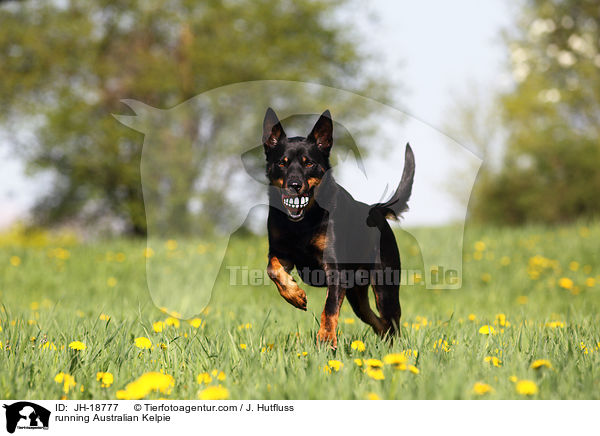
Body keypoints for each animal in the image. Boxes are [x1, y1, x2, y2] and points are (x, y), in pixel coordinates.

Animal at [264, 108, 414, 348]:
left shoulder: (333, 268)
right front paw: (296, 296)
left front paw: (326, 340)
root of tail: (375, 210)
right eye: (282, 163)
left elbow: (330, 308)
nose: (294, 185)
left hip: (385, 286)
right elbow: (273, 270)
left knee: (392, 322)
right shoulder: (280, 253)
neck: (303, 223)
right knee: (377, 321)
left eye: (308, 163)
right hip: (356, 294)